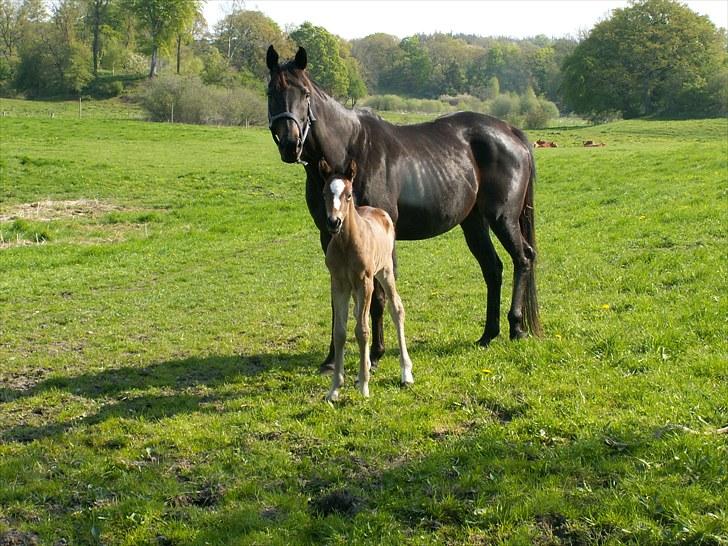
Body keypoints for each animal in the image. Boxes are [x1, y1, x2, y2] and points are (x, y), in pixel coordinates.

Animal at [266, 45, 540, 370]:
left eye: (305, 93)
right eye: (271, 91)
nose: (290, 143)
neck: (348, 150)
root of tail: (512, 132)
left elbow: (378, 297)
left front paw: (375, 354)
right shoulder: (328, 236)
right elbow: (337, 300)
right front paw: (332, 359)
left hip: (503, 218)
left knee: (523, 259)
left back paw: (516, 327)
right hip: (473, 223)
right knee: (493, 268)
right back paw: (488, 334)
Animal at [320, 157, 412, 400]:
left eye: (348, 194)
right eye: (324, 193)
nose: (333, 222)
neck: (347, 244)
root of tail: (380, 211)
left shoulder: (365, 282)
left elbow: (362, 331)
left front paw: (364, 386)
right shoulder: (338, 284)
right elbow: (340, 332)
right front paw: (334, 388)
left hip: (385, 272)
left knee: (396, 308)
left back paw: (406, 373)